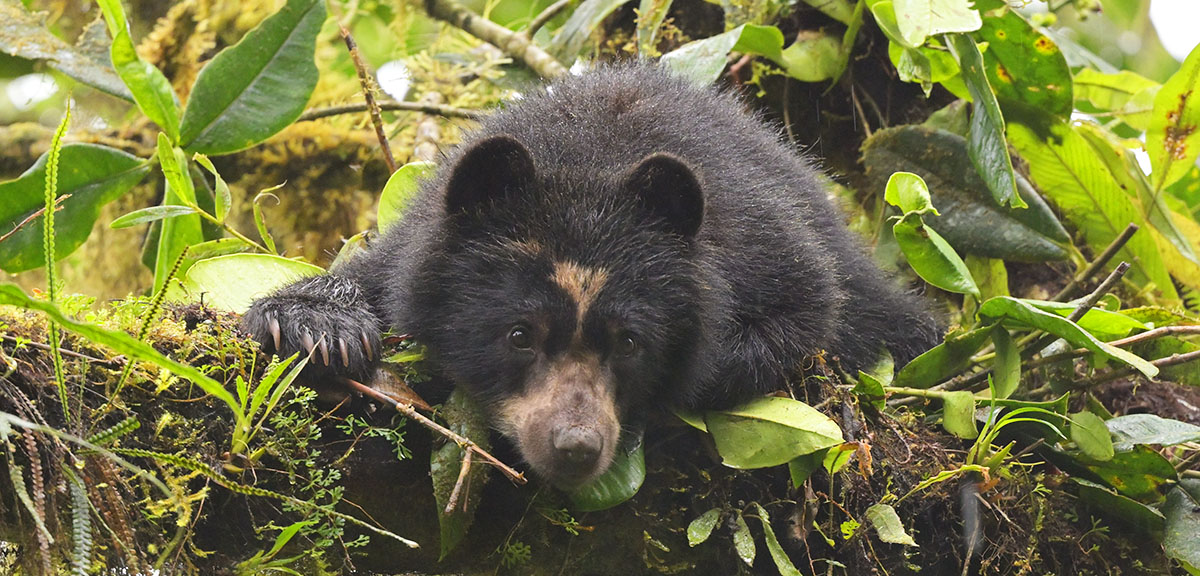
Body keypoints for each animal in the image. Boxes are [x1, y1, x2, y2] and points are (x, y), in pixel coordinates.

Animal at [241, 65, 940, 489]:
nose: (576, 447)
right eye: (518, 334)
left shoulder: (763, 243)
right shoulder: (421, 244)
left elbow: (811, 309)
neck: (589, 165)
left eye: (629, 342)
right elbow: (373, 278)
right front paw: (315, 328)